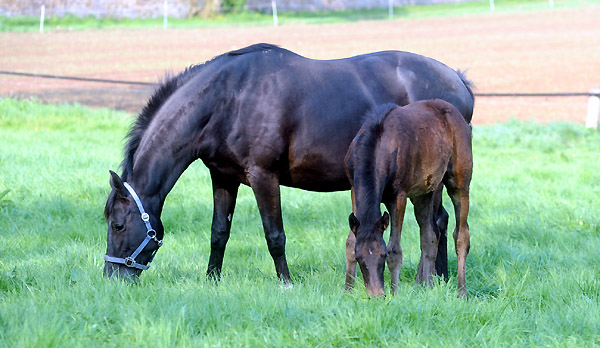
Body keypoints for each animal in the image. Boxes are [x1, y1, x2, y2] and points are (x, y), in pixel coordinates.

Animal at [346, 100, 474, 296]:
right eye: (359, 257)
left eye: (382, 255)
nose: (377, 295)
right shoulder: (354, 188)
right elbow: (351, 240)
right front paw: (348, 291)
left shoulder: (398, 196)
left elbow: (395, 249)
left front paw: (394, 294)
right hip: (424, 192)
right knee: (430, 235)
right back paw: (427, 286)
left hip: (459, 183)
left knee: (461, 236)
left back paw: (462, 293)